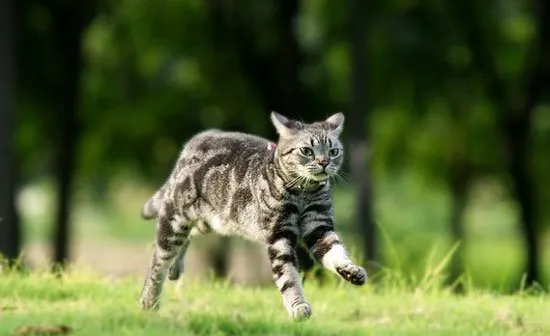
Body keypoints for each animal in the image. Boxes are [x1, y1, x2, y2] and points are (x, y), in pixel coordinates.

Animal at [140, 112, 368, 320]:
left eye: (333, 151)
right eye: (307, 151)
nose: (324, 162)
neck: (305, 191)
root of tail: (200, 137)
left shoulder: (319, 227)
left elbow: (336, 252)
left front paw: (350, 270)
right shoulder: (279, 236)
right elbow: (288, 275)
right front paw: (298, 304)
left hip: (213, 220)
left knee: (188, 236)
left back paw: (175, 268)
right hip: (175, 220)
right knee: (157, 260)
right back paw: (149, 301)